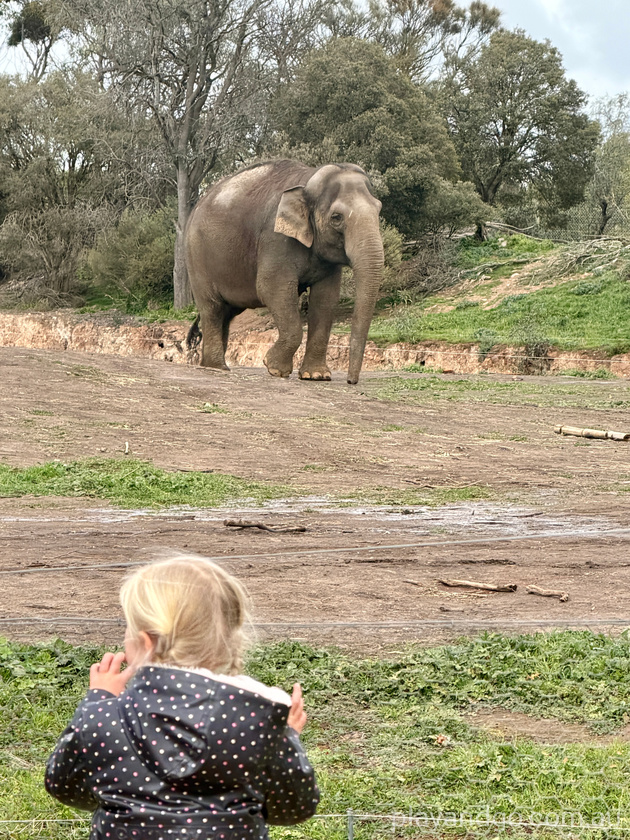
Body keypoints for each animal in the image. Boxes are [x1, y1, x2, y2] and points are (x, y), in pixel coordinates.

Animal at [184, 159, 384, 384]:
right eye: (336, 217)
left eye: (379, 210)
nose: (351, 381)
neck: (308, 179)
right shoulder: (275, 239)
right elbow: (272, 288)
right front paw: (274, 369)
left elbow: (326, 298)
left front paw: (316, 376)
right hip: (197, 258)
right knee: (212, 309)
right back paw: (218, 367)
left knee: (226, 313)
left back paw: (211, 365)